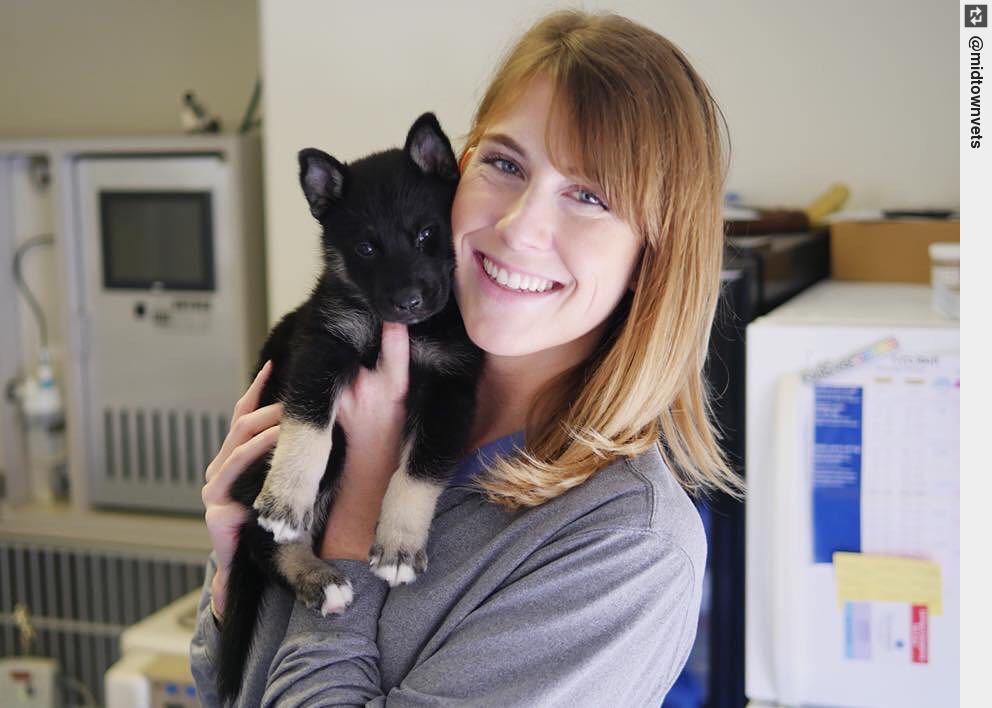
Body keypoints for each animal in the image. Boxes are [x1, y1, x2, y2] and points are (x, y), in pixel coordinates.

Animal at [216, 113, 480, 704]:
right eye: (365, 248)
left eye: (427, 234)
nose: (408, 302)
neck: (401, 332)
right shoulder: (323, 343)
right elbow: (310, 425)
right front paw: (287, 497)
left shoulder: (453, 387)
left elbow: (419, 471)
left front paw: (400, 548)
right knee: (260, 543)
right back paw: (319, 579)